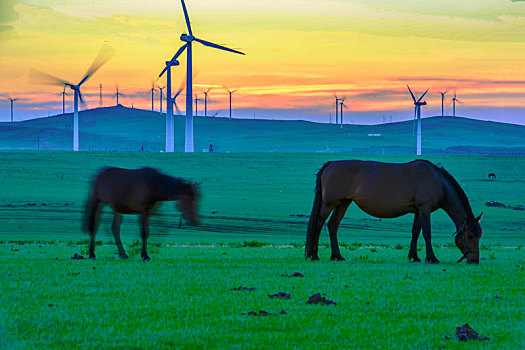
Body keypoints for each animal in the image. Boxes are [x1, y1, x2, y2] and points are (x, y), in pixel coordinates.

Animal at [304, 160, 482, 264]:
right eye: (470, 236)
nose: (474, 260)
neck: (437, 181)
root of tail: (330, 164)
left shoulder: (418, 210)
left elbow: (415, 231)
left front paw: (414, 256)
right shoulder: (425, 209)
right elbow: (427, 233)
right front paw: (431, 258)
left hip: (343, 203)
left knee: (333, 225)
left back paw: (337, 256)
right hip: (329, 204)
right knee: (319, 223)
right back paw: (314, 255)